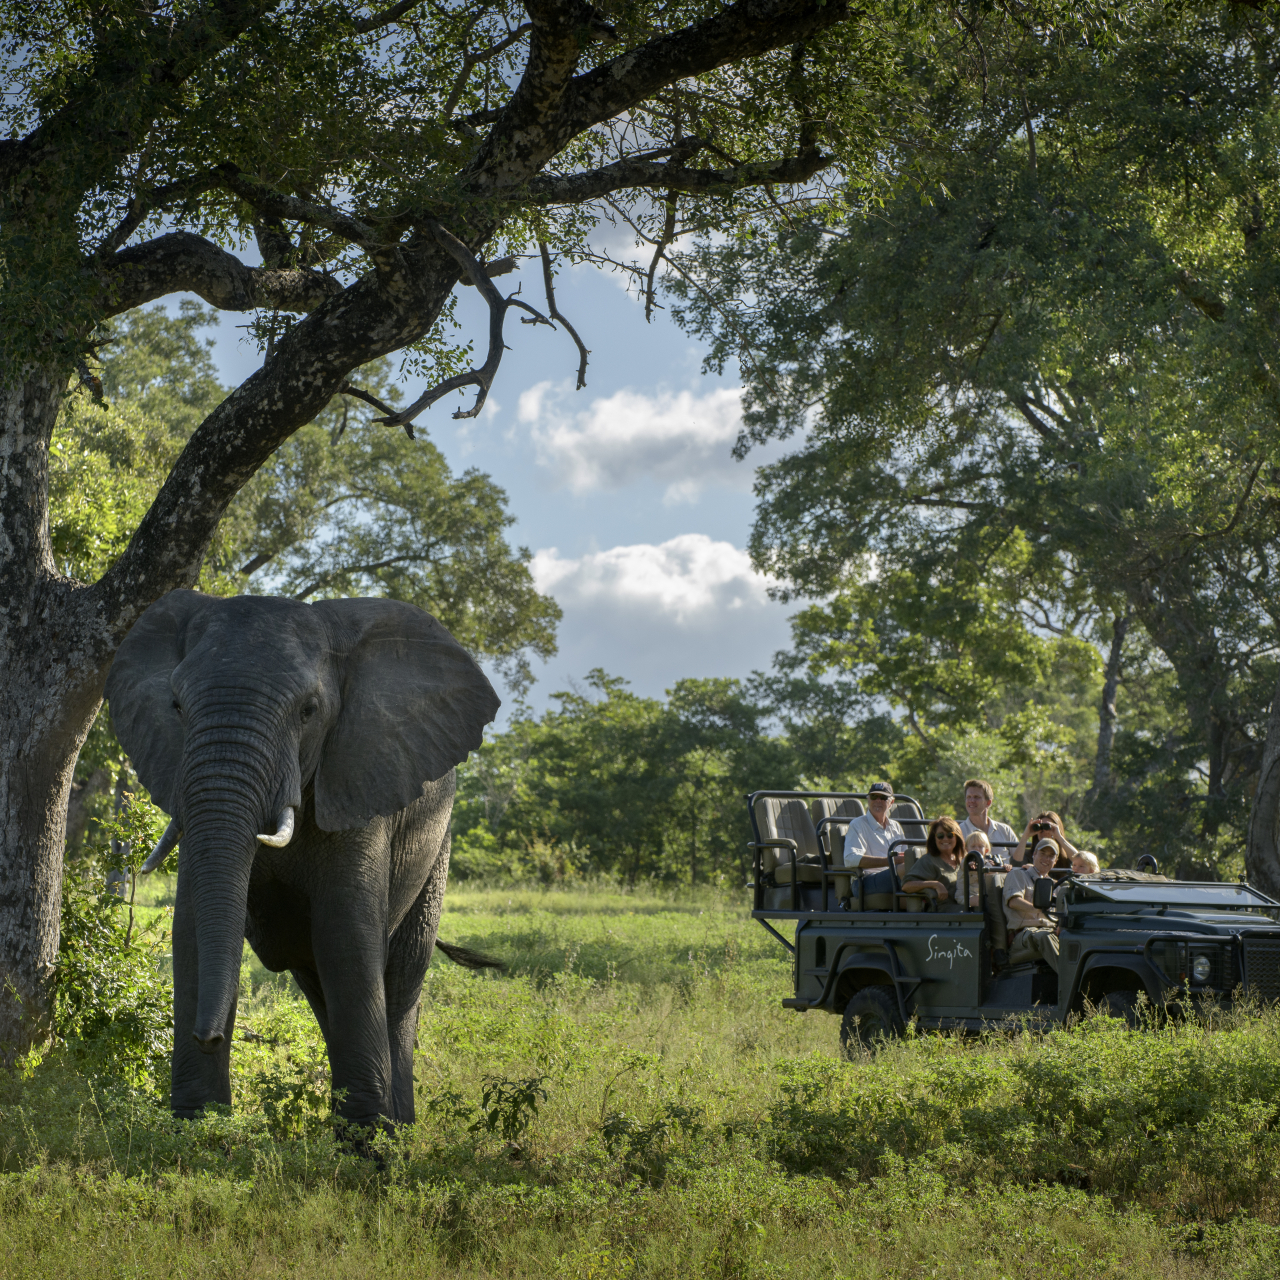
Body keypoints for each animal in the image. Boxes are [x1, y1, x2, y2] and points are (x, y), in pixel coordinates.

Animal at [104, 589, 501, 1129]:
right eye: (176, 706)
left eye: (309, 711)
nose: (209, 1037)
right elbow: (190, 926)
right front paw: (196, 1126)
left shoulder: (359, 776)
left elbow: (346, 935)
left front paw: (368, 1140)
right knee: (319, 986)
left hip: (437, 842)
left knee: (399, 977)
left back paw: (398, 1126)